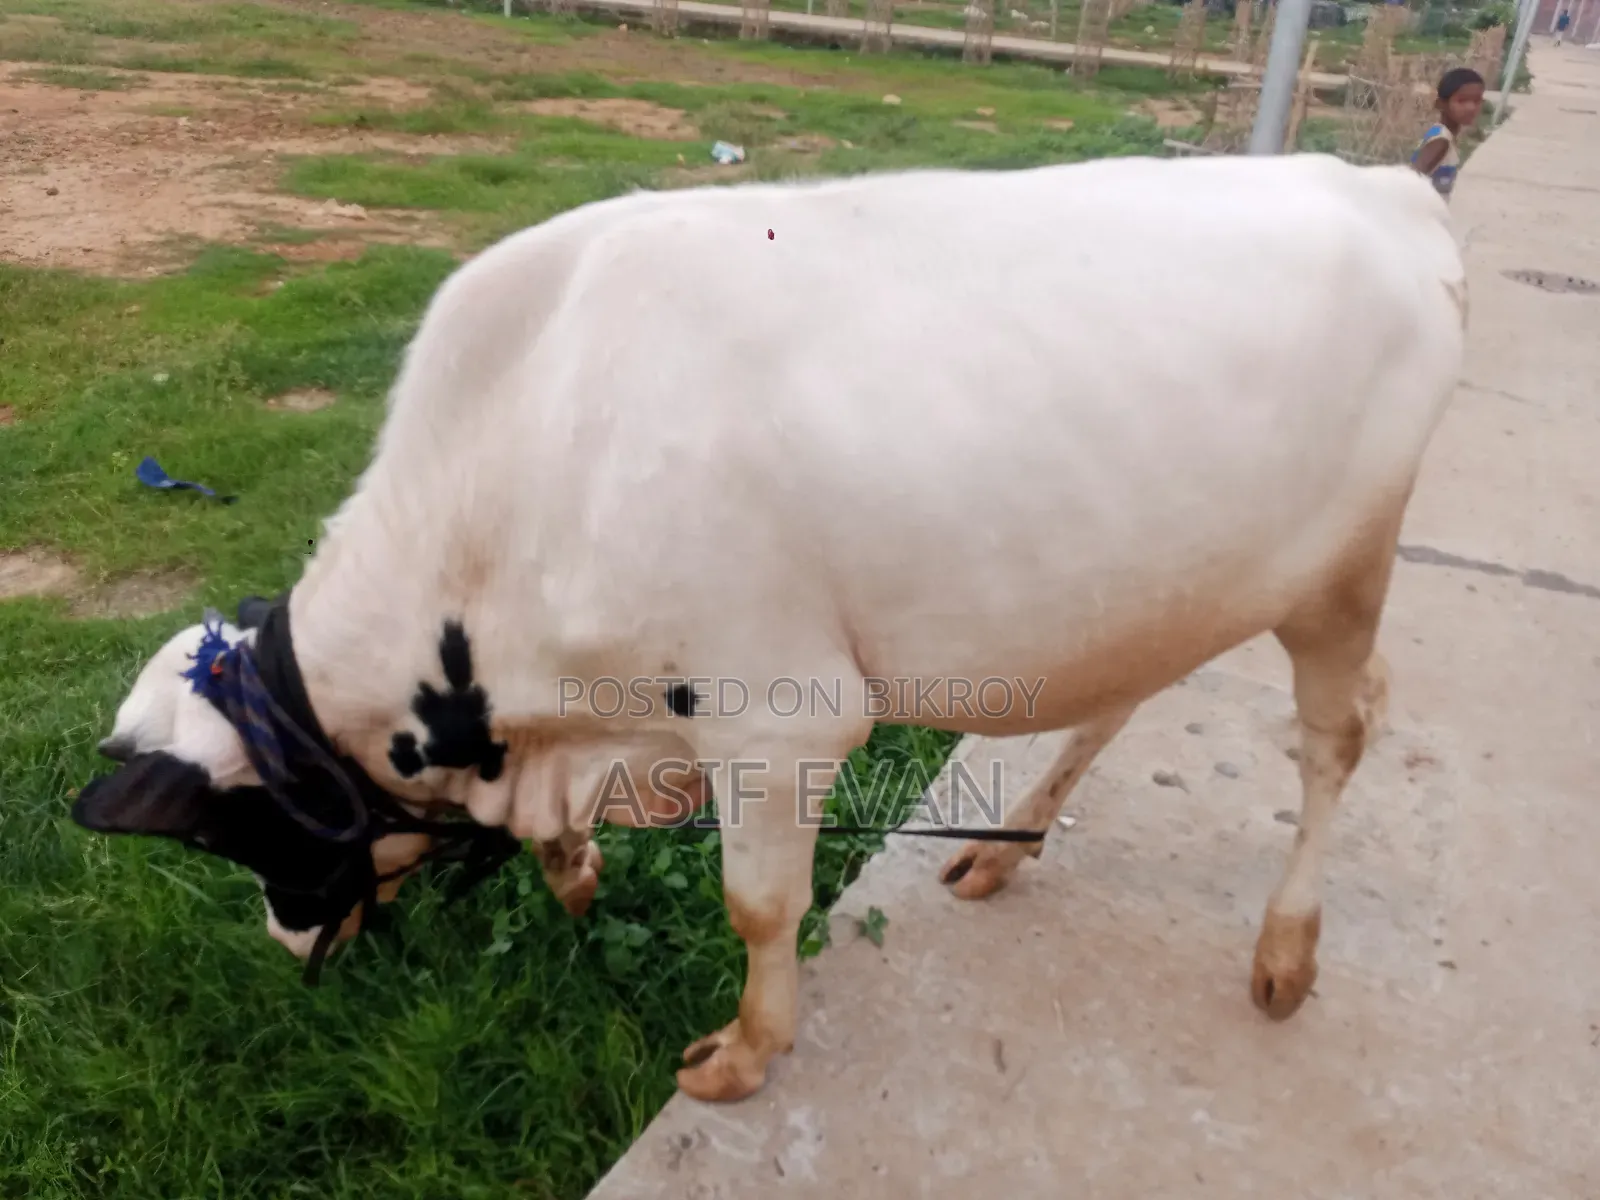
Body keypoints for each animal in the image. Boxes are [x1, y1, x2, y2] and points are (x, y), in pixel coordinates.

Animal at [73, 151, 1466, 1103]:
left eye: (243, 831)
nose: (288, 940)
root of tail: (1380, 181)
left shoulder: (776, 718)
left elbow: (755, 905)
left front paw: (746, 1053)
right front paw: (573, 876)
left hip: (1341, 577)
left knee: (1340, 734)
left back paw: (1284, 952)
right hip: (1167, 576)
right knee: (1127, 695)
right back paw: (1001, 849)